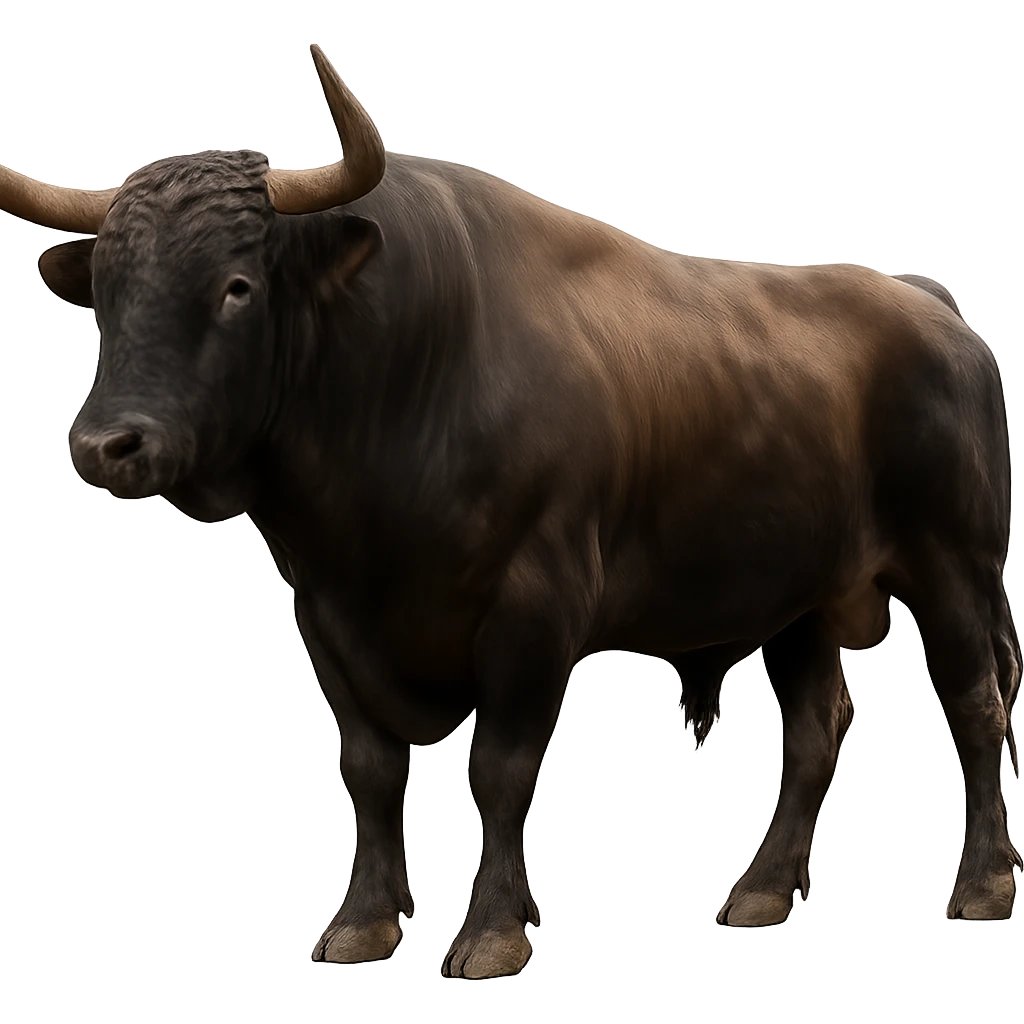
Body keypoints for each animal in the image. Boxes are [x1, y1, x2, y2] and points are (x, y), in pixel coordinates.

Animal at [3, 45, 1019, 977]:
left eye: (237, 287)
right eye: (106, 293)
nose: (107, 446)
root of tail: (934, 307)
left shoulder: (537, 606)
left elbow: (499, 770)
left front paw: (491, 933)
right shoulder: (325, 615)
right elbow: (370, 770)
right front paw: (362, 925)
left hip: (953, 567)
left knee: (976, 708)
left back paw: (982, 884)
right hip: (797, 603)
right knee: (813, 736)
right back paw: (761, 892)